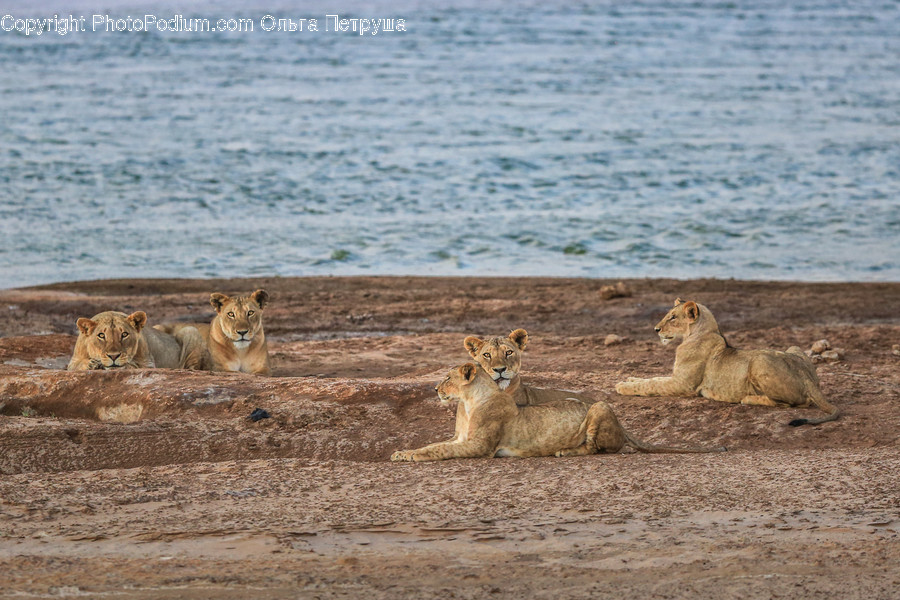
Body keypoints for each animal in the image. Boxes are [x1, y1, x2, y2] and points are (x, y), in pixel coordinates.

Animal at [67, 311, 207, 371]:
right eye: (101, 335)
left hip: (191, 330)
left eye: (124, 334)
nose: (113, 356)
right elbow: (77, 365)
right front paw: (91, 364)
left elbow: (134, 365)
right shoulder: (73, 361)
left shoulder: (148, 363)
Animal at [391, 363, 724, 462]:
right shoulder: (461, 439)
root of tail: (624, 426)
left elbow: (438, 450)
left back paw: (565, 451)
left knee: (596, 448)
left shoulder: (478, 446)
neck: (469, 402)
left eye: (448, 377)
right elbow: (434, 444)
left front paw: (409, 457)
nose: (435, 388)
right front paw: (402, 452)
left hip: (599, 406)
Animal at [615, 299, 839, 426]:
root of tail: (805, 375)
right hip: (794, 348)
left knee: (792, 403)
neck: (698, 333)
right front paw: (629, 378)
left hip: (758, 361)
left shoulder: (683, 385)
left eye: (672, 317)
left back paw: (748, 398)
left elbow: (651, 385)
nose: (656, 330)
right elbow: (652, 378)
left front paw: (622, 386)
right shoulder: (675, 377)